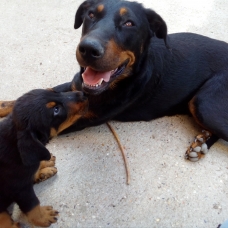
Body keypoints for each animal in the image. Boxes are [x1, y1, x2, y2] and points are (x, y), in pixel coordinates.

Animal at [0, 0, 228, 162]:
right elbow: (40, 94)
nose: (88, 49)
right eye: (91, 14)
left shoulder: (86, 116)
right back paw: (201, 143)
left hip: (203, 102)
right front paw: (5, 105)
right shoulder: (75, 87)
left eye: (129, 23)